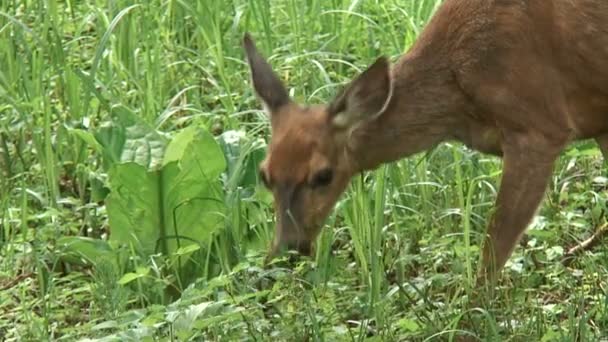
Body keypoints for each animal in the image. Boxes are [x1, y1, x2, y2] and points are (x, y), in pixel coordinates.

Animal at [242, 0, 608, 286]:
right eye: (264, 175)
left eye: (323, 175)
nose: (287, 248)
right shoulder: (597, 120)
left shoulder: (539, 126)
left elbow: (491, 256)